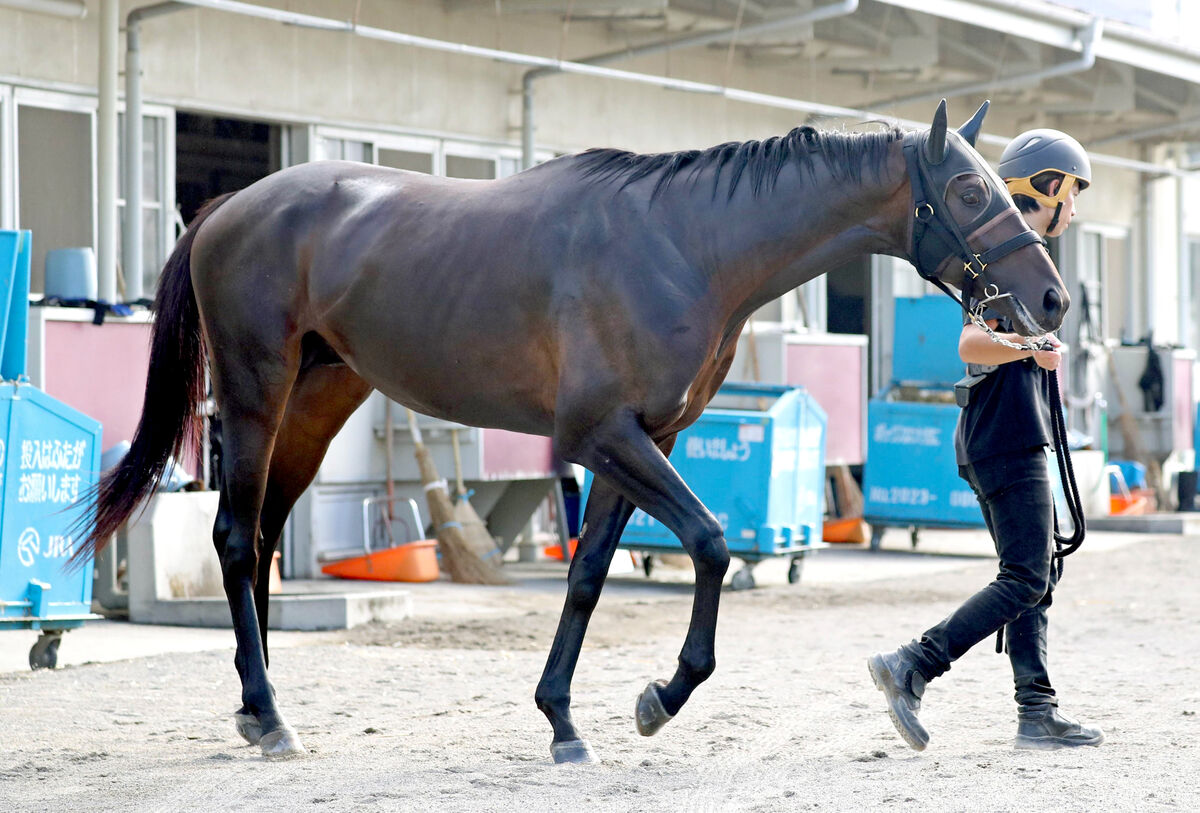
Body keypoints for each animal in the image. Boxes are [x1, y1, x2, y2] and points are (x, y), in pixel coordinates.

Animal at [82, 98, 1070, 762]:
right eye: (969, 188)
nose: (1054, 298)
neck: (683, 245)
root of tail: (228, 209)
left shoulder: (642, 441)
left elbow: (589, 573)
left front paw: (562, 719)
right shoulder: (604, 436)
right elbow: (710, 543)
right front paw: (662, 695)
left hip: (319, 401)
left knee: (262, 533)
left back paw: (260, 709)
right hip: (257, 391)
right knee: (233, 537)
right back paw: (272, 715)